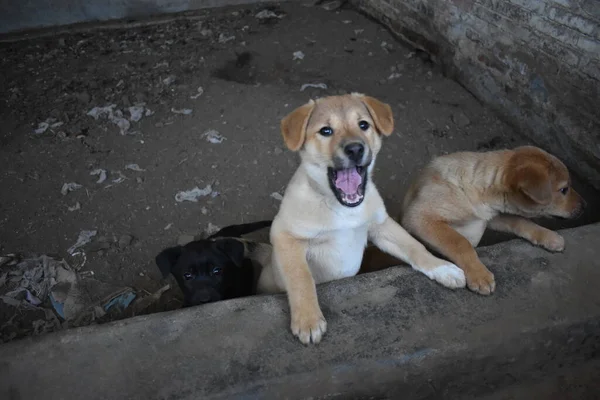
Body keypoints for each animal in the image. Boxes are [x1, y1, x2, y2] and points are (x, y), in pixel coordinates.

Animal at [256, 93, 464, 344]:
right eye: (326, 130)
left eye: (363, 125)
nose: (355, 149)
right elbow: (301, 277)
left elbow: (415, 246)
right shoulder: (284, 234)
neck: (342, 208)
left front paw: (443, 268)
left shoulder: (381, 224)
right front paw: (308, 319)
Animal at [400, 145, 584, 296]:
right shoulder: (420, 217)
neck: (478, 191)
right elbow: (459, 242)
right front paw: (479, 274)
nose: (585, 205)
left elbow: (520, 221)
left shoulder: (494, 216)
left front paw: (548, 236)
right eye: (564, 189)